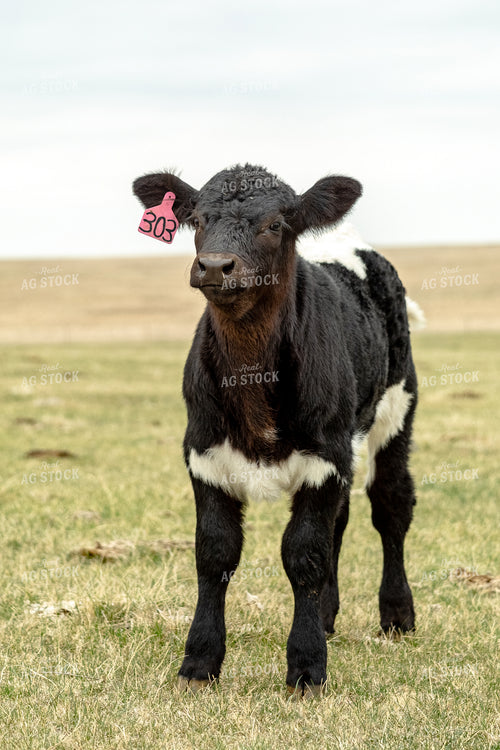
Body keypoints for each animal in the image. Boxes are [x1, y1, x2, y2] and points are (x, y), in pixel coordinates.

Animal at [133, 163, 424, 697]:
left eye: (274, 225)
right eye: (198, 219)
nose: (215, 266)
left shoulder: (324, 456)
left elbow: (303, 553)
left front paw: (307, 666)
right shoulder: (203, 453)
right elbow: (215, 552)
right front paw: (199, 661)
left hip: (396, 408)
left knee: (390, 505)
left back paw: (396, 614)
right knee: (341, 520)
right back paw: (328, 614)